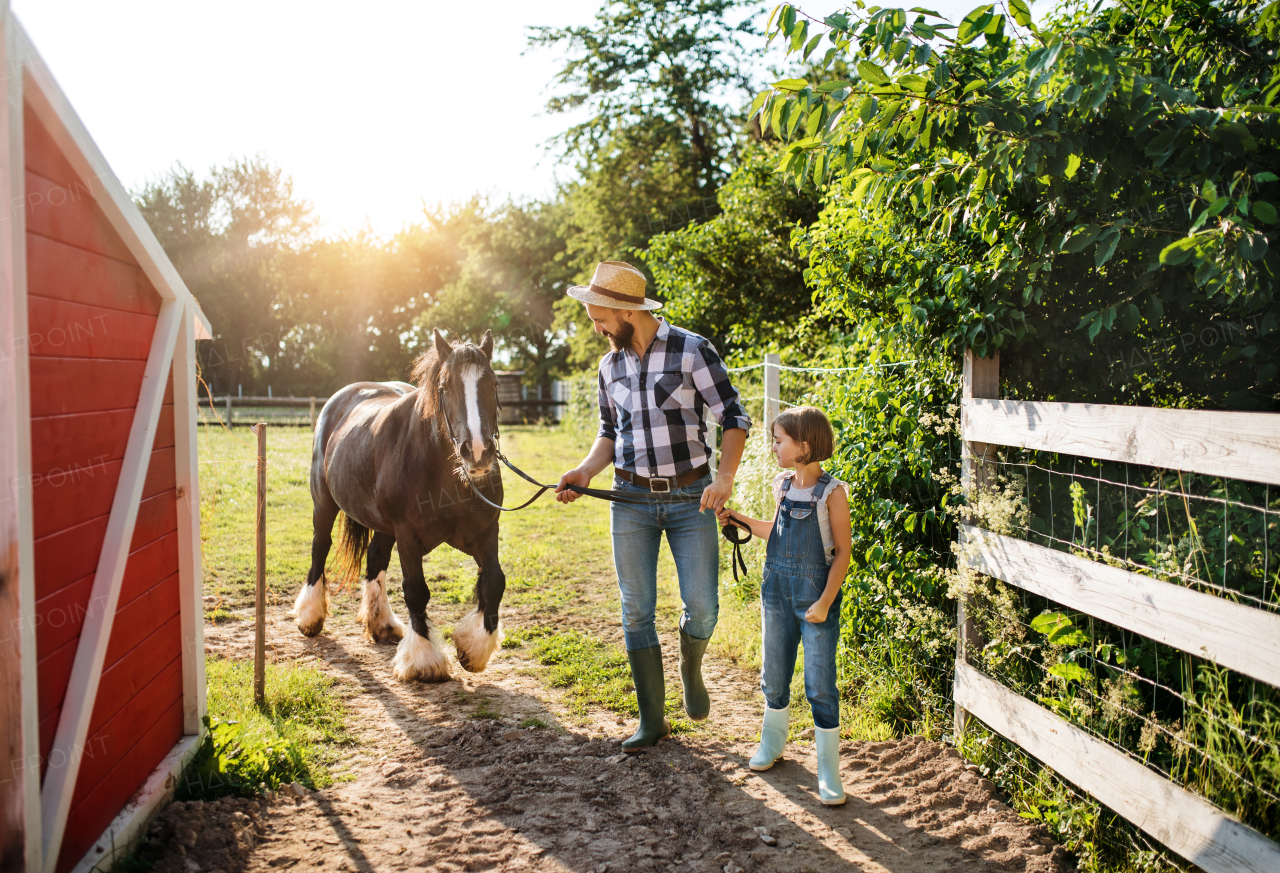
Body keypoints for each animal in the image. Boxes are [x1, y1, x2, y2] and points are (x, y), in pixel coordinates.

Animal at [293, 327, 506, 680]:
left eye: (493, 384)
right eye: (444, 388)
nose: (477, 452)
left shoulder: (486, 533)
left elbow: (494, 583)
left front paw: (473, 649)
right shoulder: (408, 536)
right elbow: (416, 590)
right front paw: (424, 659)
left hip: (382, 525)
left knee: (375, 556)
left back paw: (381, 624)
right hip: (323, 503)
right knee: (319, 547)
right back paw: (310, 616)